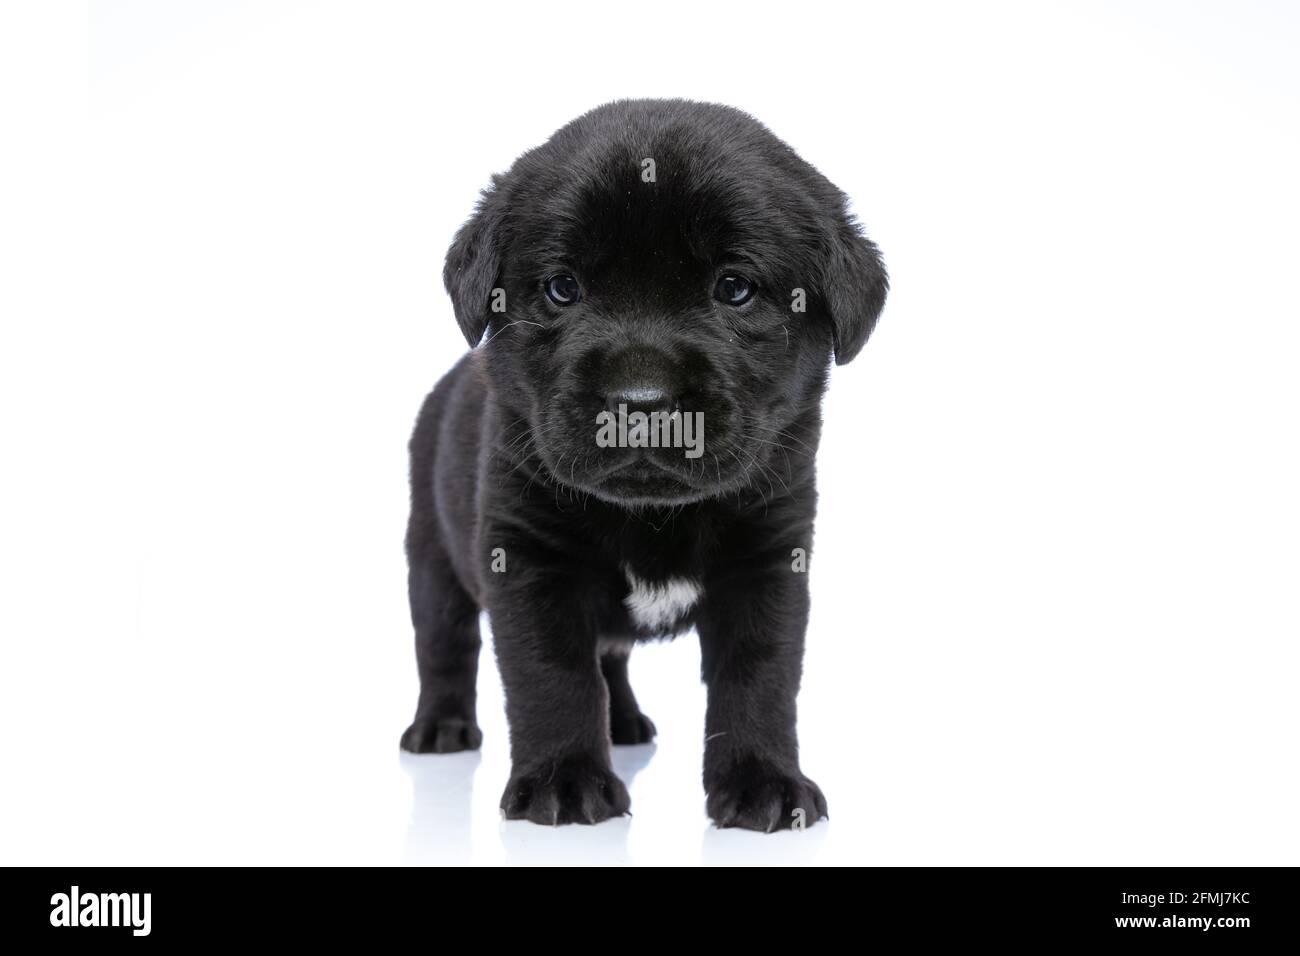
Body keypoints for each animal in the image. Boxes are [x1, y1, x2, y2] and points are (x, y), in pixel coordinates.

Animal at [400, 98, 889, 832]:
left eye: (734, 288)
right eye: (562, 288)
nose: (641, 401)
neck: (653, 517)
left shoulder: (770, 559)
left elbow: (760, 676)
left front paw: (764, 782)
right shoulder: (527, 558)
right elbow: (552, 674)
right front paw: (565, 780)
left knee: (613, 658)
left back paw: (625, 723)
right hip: (432, 555)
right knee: (444, 646)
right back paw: (441, 728)